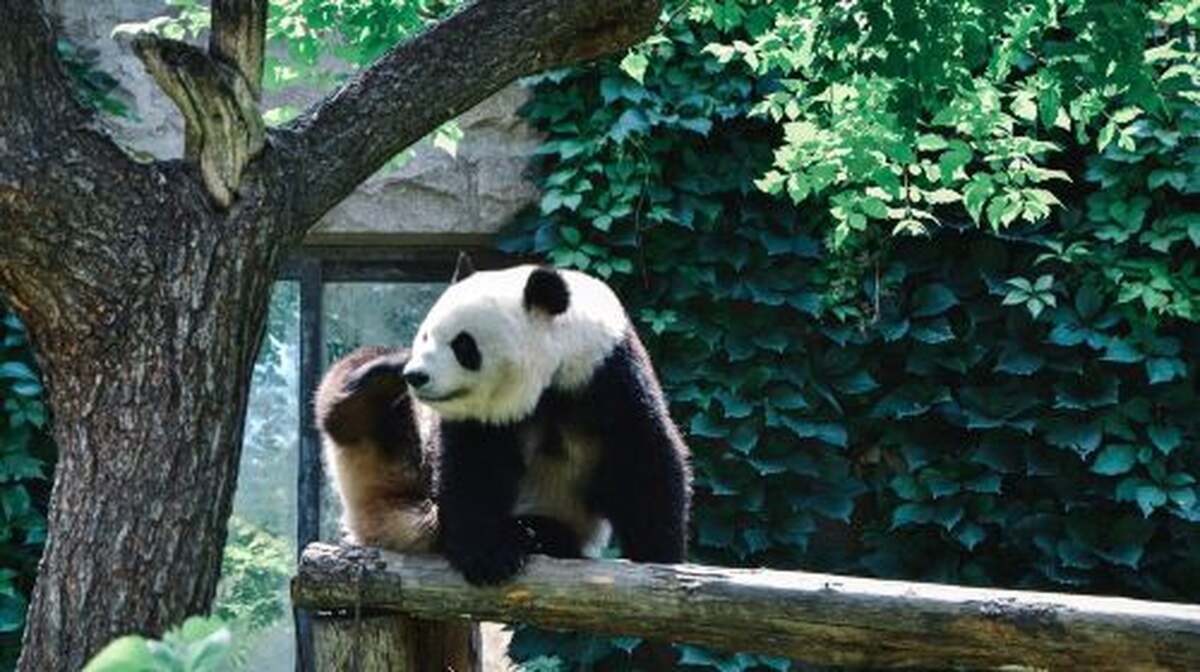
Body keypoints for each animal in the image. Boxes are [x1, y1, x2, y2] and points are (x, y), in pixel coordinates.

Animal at [316, 255, 692, 585]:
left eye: (463, 345)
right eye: (425, 335)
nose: (417, 376)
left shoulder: (605, 372)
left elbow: (640, 458)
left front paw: (658, 555)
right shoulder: (472, 415)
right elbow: (473, 466)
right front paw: (488, 557)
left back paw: (534, 533)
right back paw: (370, 390)